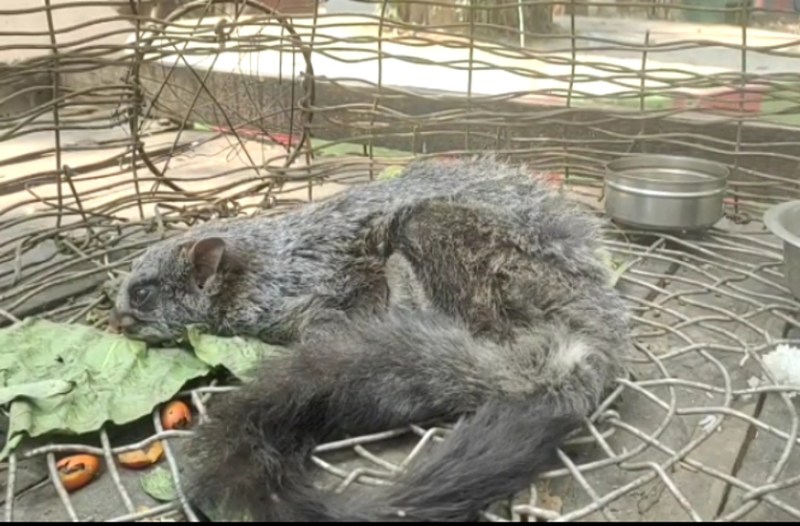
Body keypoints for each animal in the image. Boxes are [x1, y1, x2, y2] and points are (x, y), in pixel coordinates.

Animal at [110, 156, 631, 522]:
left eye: (142, 292)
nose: (115, 320)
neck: (267, 268)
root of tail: (593, 307)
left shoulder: (326, 297)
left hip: (434, 231)